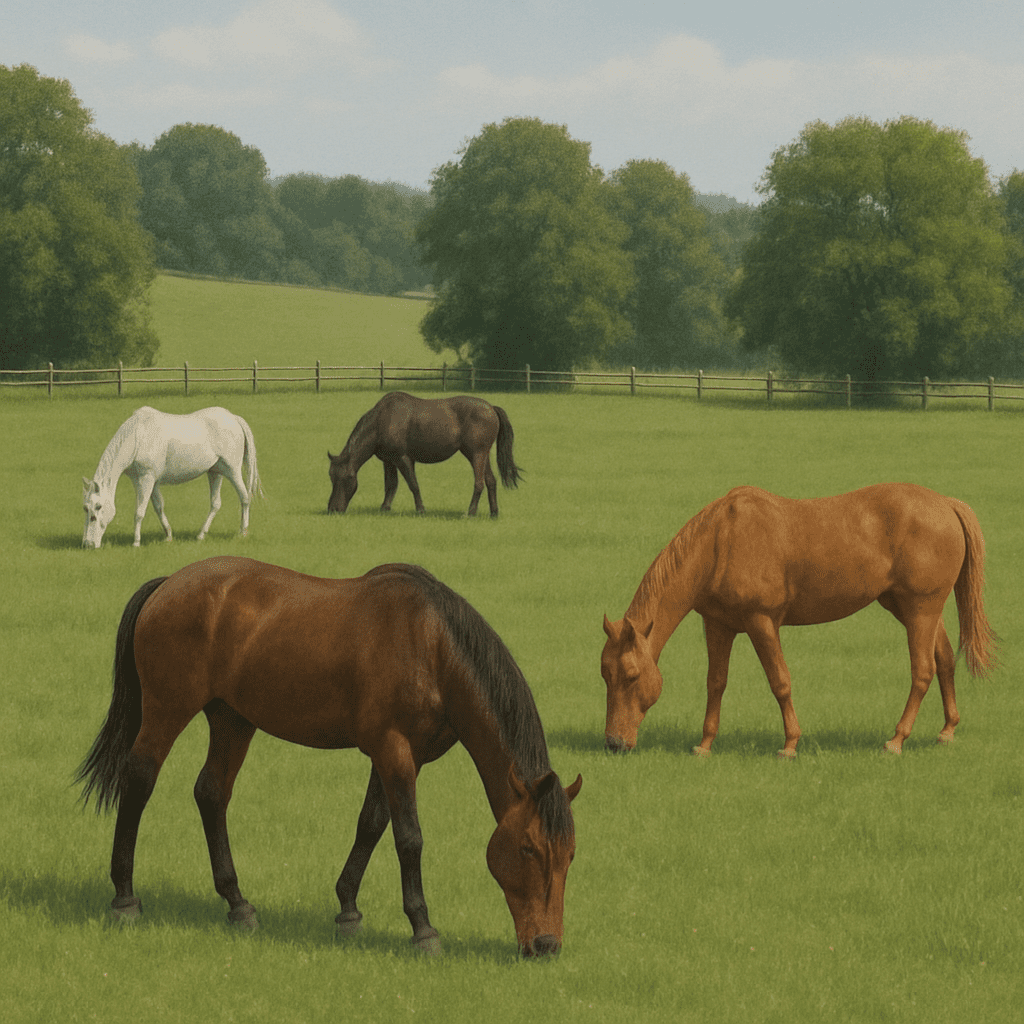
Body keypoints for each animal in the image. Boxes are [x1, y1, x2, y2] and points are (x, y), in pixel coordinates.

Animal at [77, 557, 582, 957]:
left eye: (570, 853)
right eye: (528, 847)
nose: (547, 945)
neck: (432, 645)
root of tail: (169, 583)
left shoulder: (399, 756)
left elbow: (372, 825)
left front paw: (348, 910)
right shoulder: (394, 750)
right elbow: (408, 838)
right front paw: (422, 928)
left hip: (232, 719)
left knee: (211, 793)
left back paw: (238, 904)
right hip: (168, 709)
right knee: (139, 779)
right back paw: (125, 897)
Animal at [82, 406, 263, 548]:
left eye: (98, 507)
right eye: (85, 508)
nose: (88, 544)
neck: (138, 436)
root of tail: (234, 418)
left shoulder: (146, 479)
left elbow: (139, 512)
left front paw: (136, 542)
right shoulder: (150, 482)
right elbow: (158, 507)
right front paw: (168, 535)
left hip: (232, 471)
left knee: (245, 497)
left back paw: (243, 532)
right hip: (215, 472)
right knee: (215, 504)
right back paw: (201, 535)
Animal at [327, 392, 522, 517]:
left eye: (347, 478)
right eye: (331, 477)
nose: (333, 509)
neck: (382, 420)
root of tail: (491, 408)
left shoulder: (403, 458)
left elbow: (413, 484)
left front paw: (420, 509)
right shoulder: (388, 461)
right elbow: (391, 484)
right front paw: (385, 508)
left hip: (476, 454)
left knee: (479, 483)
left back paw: (471, 512)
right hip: (483, 454)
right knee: (491, 481)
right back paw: (494, 512)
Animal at [601, 483, 997, 757]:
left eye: (632, 675)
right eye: (606, 674)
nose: (615, 743)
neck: (721, 541)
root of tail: (946, 503)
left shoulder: (761, 622)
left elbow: (780, 682)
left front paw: (790, 744)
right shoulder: (718, 625)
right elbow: (716, 683)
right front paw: (705, 744)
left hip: (920, 610)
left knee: (923, 671)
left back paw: (897, 739)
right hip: (914, 609)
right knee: (944, 661)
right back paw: (946, 731)